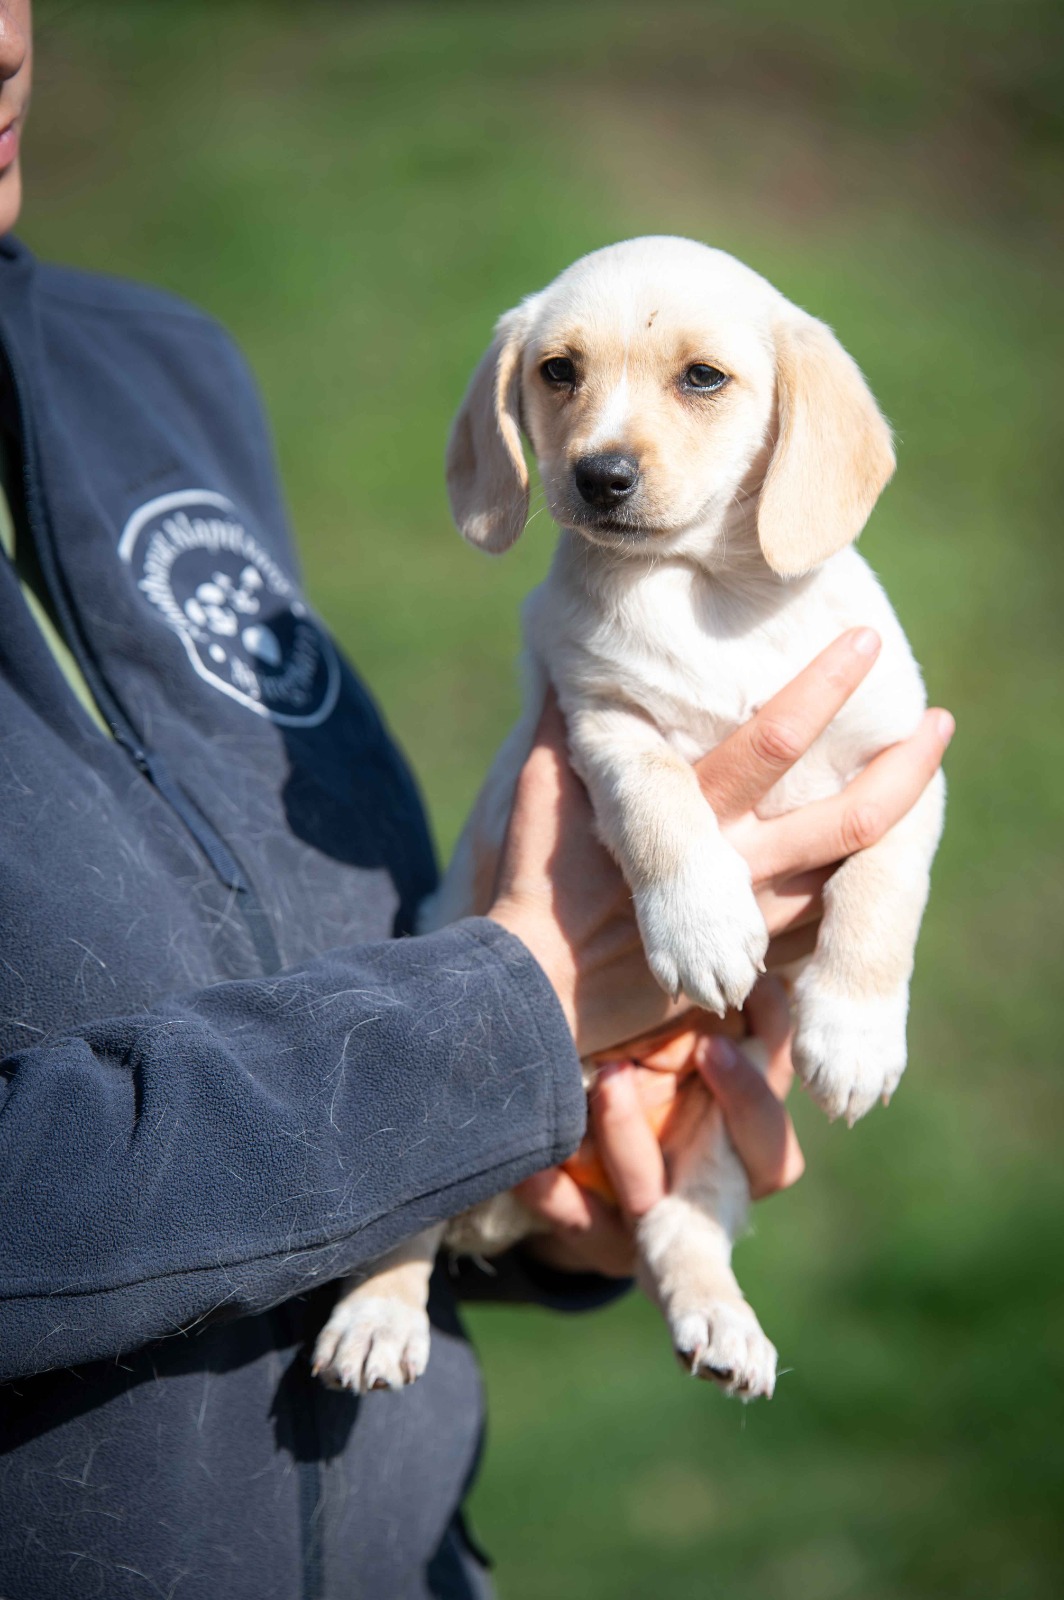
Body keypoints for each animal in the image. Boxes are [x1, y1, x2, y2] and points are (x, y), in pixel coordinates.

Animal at [312, 235, 945, 1401]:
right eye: (557, 372)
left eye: (702, 378)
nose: (598, 475)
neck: (713, 595)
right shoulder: (601, 721)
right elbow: (662, 802)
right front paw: (700, 925)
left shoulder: (905, 761)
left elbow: (882, 892)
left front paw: (853, 1030)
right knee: (404, 1236)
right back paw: (374, 1321)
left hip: (708, 1129)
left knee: (676, 1230)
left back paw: (721, 1324)